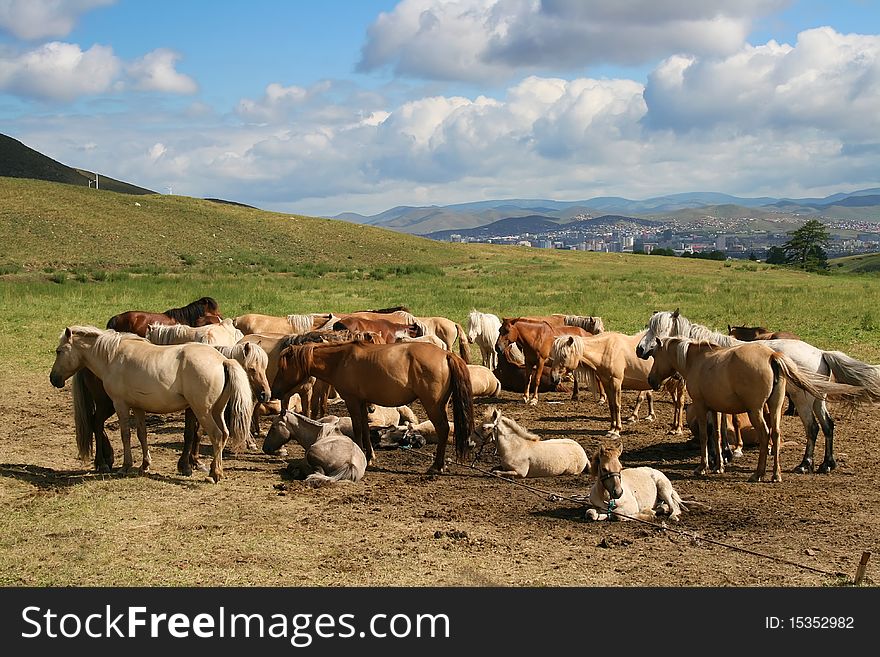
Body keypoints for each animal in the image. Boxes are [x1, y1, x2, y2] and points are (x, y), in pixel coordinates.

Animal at [49, 324, 251, 482]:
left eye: (59, 351)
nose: (53, 378)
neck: (112, 356)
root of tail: (223, 360)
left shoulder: (121, 404)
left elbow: (125, 434)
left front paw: (126, 466)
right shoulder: (138, 407)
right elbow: (142, 434)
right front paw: (144, 465)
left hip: (203, 411)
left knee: (217, 435)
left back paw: (214, 474)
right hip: (217, 410)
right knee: (224, 434)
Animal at [272, 338, 474, 472]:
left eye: (283, 368)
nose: (274, 392)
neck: (341, 361)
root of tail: (447, 354)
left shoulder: (352, 400)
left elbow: (358, 429)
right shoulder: (362, 403)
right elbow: (364, 428)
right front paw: (369, 457)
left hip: (433, 405)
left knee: (443, 429)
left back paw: (436, 466)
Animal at [552, 330, 688, 438]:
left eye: (564, 355)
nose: (554, 377)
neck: (606, 350)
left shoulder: (616, 382)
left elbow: (617, 405)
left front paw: (617, 430)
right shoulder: (607, 383)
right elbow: (611, 406)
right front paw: (612, 428)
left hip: (680, 383)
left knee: (680, 404)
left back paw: (678, 429)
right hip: (671, 383)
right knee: (676, 404)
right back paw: (674, 427)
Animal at [636, 308, 880, 472]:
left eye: (657, 331)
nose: (640, 349)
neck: (705, 354)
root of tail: (821, 353)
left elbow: (717, 427)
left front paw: (720, 456)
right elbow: (721, 426)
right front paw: (722, 455)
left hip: (802, 400)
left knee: (812, 428)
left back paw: (805, 464)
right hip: (818, 399)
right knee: (828, 426)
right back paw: (827, 464)